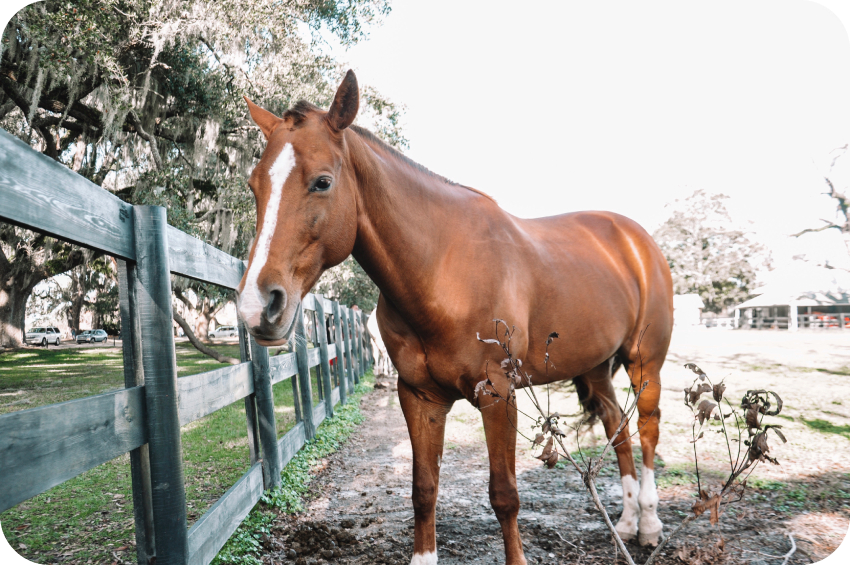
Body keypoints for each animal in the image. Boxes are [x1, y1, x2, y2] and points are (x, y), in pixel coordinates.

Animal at [237, 70, 668, 564]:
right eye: (254, 186)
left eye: (322, 182)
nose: (257, 305)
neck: (443, 271)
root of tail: (635, 240)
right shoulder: (420, 398)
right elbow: (424, 488)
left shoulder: (498, 394)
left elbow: (505, 495)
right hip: (595, 366)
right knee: (618, 425)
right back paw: (627, 522)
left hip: (644, 362)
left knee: (648, 428)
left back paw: (649, 525)